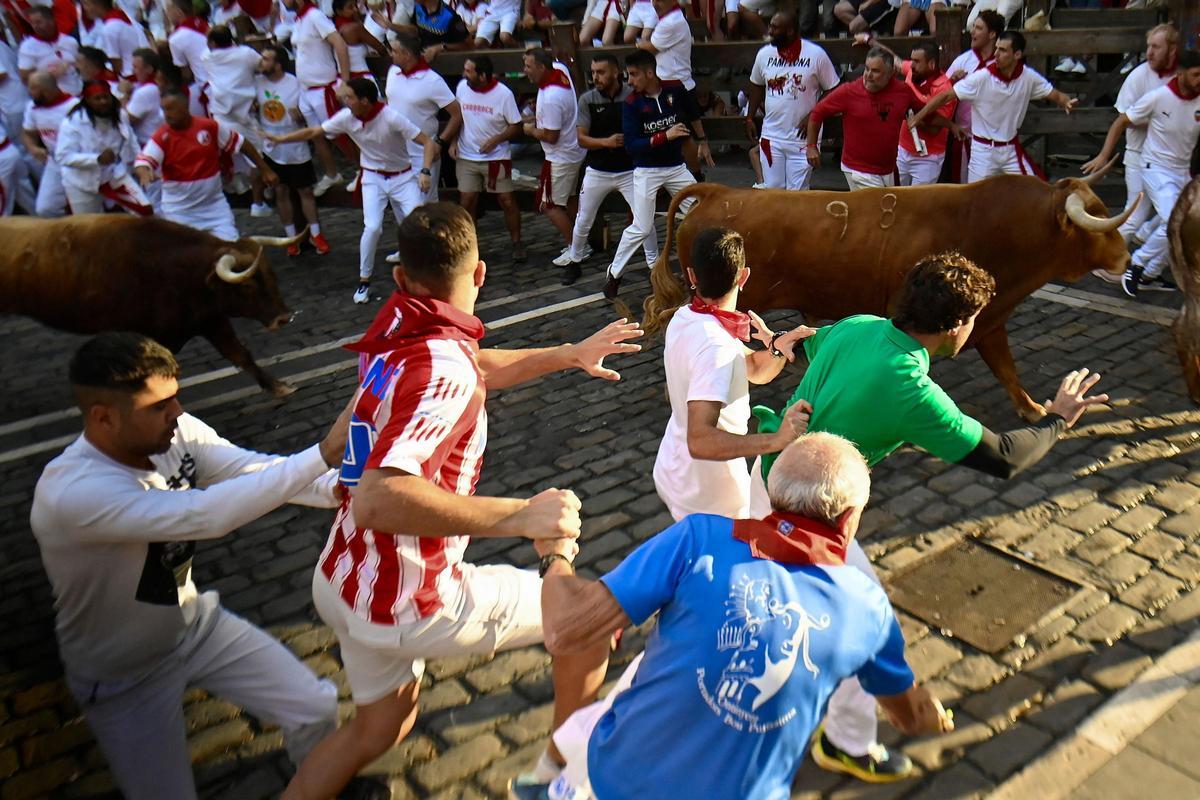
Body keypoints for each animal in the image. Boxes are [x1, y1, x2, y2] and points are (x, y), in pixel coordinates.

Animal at [1, 215, 300, 398]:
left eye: (271, 274)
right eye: (247, 286)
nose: (283, 318)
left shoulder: (211, 319)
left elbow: (241, 354)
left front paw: (277, 386)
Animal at [643, 173, 1137, 422]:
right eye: (1097, 218)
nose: (1126, 255)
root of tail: (718, 191)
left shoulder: (989, 321)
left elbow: (1006, 368)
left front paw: (1032, 408)